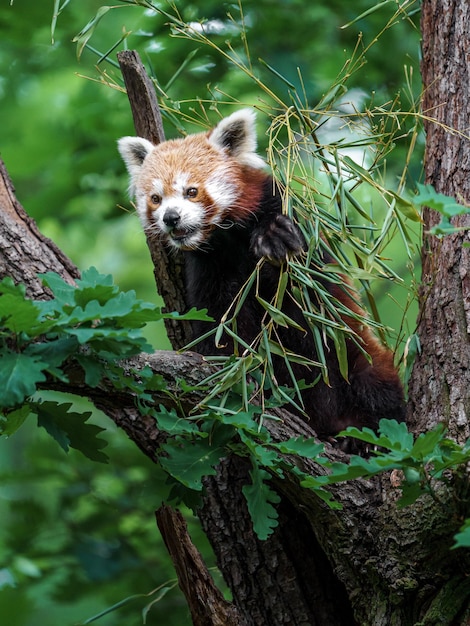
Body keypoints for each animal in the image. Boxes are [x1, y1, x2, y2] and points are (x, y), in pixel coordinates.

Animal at [117, 108, 404, 438]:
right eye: (156, 198)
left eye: (191, 191)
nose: (171, 218)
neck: (229, 238)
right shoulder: (210, 268)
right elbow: (220, 323)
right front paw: (237, 370)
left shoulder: (285, 214)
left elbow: (311, 290)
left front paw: (274, 237)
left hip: (355, 356)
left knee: (373, 384)